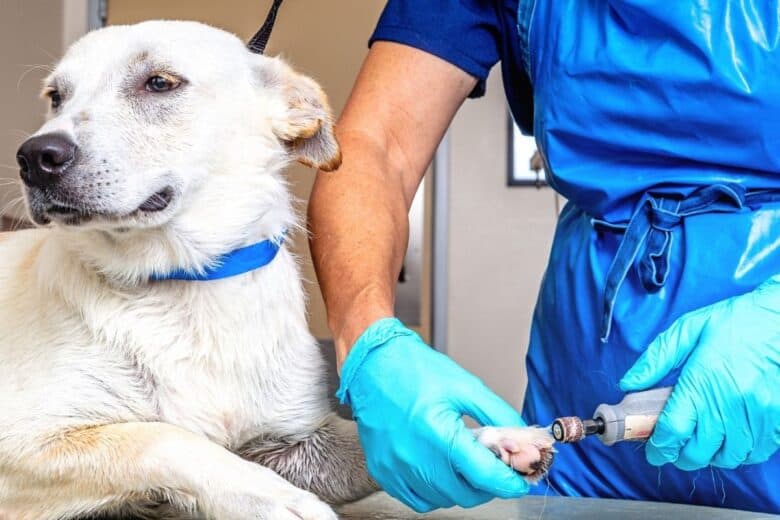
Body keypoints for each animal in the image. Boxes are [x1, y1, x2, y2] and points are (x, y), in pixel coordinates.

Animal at [0, 21, 556, 520]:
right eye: (56, 96)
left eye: (159, 82)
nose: (35, 156)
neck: (185, 286)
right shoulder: (26, 444)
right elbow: (166, 439)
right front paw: (275, 501)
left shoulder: (296, 441)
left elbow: (373, 438)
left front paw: (484, 437)